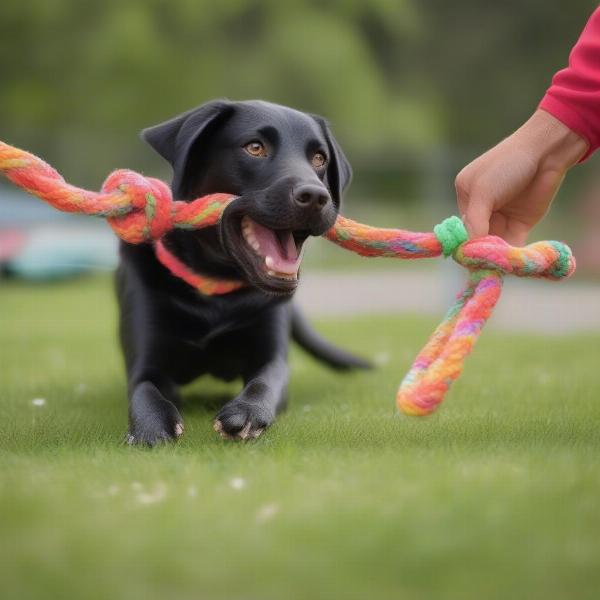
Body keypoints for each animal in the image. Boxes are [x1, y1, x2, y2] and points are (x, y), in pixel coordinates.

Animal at [116, 99, 368, 446]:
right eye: (255, 147)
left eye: (319, 158)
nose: (317, 196)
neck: (215, 286)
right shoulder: (146, 361)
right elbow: (145, 391)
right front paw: (151, 428)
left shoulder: (272, 355)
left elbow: (266, 382)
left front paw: (247, 413)